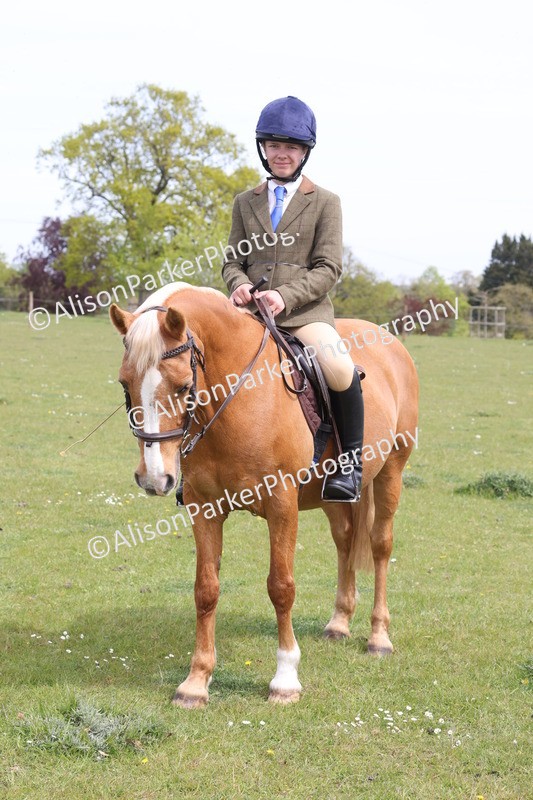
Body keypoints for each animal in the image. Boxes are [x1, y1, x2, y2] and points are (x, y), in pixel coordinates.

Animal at [110, 281, 419, 708]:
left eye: (184, 386)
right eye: (125, 385)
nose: (155, 478)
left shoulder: (281, 504)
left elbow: (281, 587)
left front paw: (285, 679)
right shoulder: (204, 507)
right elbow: (205, 589)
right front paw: (196, 682)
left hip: (391, 472)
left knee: (380, 545)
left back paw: (378, 637)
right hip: (331, 499)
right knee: (345, 542)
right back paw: (339, 622)